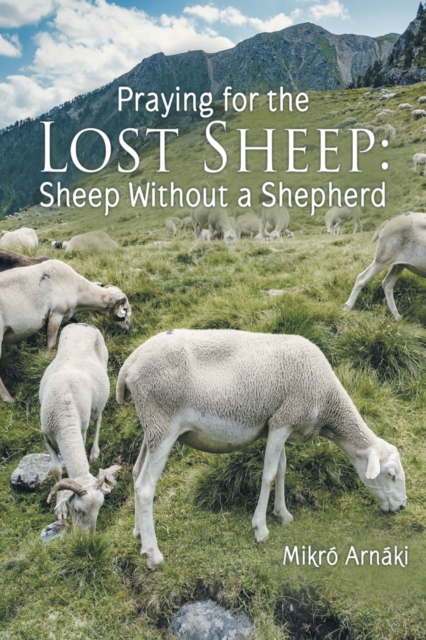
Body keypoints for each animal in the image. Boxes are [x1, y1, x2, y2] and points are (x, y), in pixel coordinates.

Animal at [0, 259, 131, 402]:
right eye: (125, 309)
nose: (128, 328)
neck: (79, 289)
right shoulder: (56, 314)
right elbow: (51, 344)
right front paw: (47, 359)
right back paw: (9, 399)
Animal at [41, 323, 120, 531]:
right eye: (77, 509)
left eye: (99, 509)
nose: (89, 536)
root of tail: (83, 324)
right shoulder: (47, 436)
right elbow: (56, 471)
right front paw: (60, 509)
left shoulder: (81, 431)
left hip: (99, 400)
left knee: (98, 420)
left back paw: (94, 452)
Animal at [116, 328, 406, 570]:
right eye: (391, 474)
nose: (402, 506)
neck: (327, 401)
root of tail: (128, 367)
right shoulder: (284, 420)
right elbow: (268, 475)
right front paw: (261, 529)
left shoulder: (278, 424)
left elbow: (281, 469)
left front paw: (282, 514)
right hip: (163, 422)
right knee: (145, 488)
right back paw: (153, 555)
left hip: (153, 427)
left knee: (136, 473)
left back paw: (139, 535)